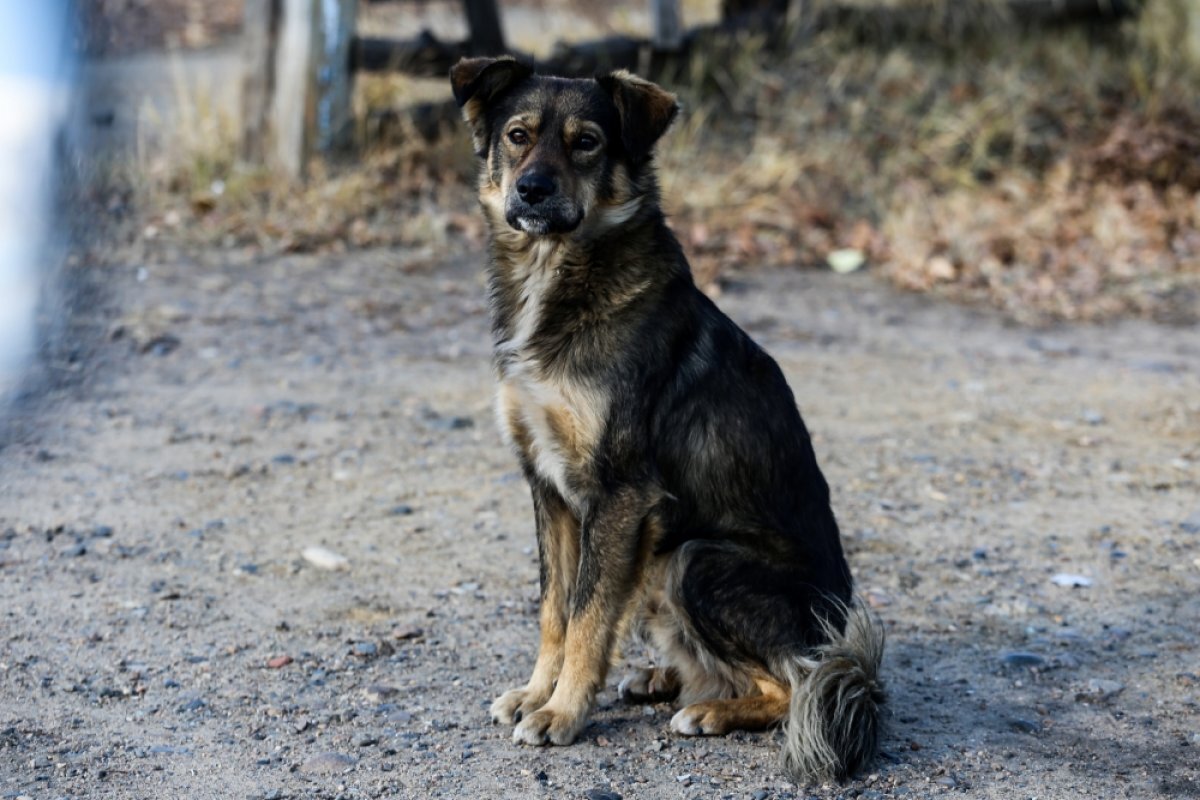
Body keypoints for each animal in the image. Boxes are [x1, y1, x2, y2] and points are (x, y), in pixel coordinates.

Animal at [453, 56, 888, 782]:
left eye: (586, 142)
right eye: (517, 136)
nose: (533, 190)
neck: (558, 272)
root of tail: (843, 645)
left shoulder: (621, 492)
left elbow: (587, 617)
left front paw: (562, 713)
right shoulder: (549, 487)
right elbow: (555, 609)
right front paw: (538, 693)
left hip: (693, 560)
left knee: (792, 683)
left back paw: (711, 710)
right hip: (655, 562)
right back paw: (665, 678)